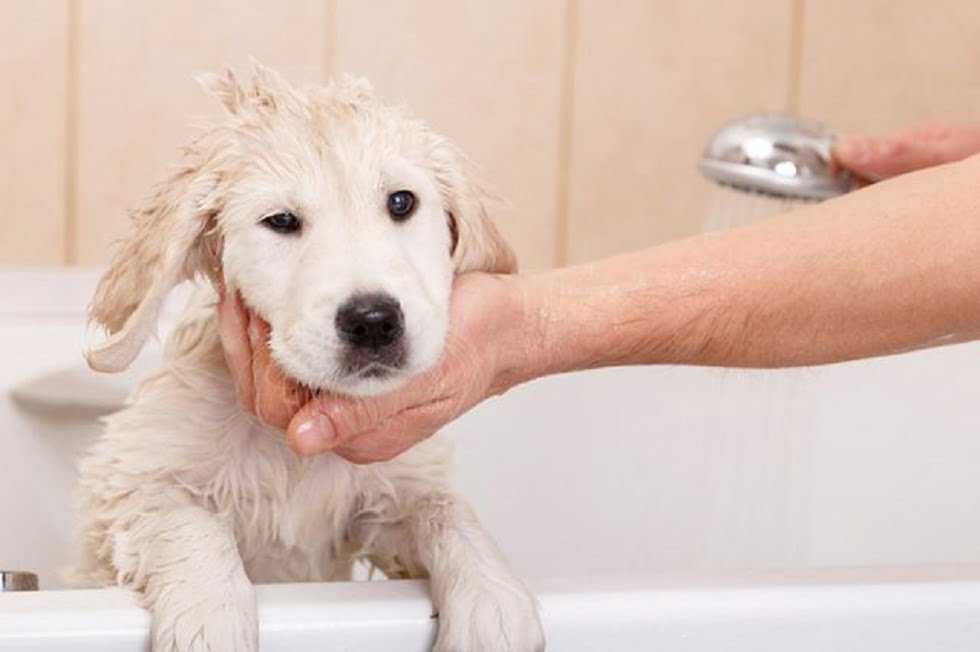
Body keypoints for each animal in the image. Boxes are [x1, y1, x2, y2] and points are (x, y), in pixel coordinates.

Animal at [71, 65, 544, 652]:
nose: (373, 321)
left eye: (401, 202)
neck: (291, 449)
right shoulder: (133, 485)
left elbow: (445, 509)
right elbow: (192, 527)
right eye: (281, 220)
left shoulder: (389, 498)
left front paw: (494, 603)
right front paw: (211, 617)